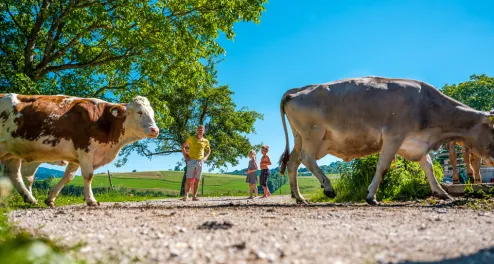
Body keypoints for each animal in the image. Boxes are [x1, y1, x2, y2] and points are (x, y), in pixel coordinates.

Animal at [0, 94, 158, 207]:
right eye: (139, 112)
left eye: (152, 113)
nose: (155, 130)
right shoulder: (85, 150)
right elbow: (88, 175)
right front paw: (91, 200)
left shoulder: (76, 157)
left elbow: (68, 177)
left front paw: (50, 198)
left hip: (11, 152)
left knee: (14, 175)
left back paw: (29, 198)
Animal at [278, 76, 494, 204]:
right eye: (493, 130)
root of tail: (296, 90)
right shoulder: (393, 136)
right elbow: (382, 166)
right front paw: (371, 196)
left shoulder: (414, 143)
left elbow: (428, 167)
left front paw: (442, 192)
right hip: (313, 134)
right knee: (307, 158)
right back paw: (329, 188)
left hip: (302, 138)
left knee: (293, 162)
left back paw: (299, 197)